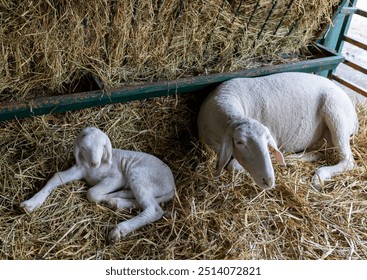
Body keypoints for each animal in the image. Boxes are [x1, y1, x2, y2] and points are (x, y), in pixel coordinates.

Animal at [20, 127, 176, 243]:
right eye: (83, 147)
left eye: (102, 147)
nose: (94, 163)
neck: (96, 168)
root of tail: (172, 183)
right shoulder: (80, 168)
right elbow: (56, 177)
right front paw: (31, 203)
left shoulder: (117, 177)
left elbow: (92, 192)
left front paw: (104, 197)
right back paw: (116, 201)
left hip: (140, 175)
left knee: (154, 209)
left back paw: (119, 228)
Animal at [198, 72, 360, 190]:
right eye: (239, 142)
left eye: (266, 141)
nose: (268, 180)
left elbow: (233, 166)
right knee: (320, 151)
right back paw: (308, 156)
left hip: (336, 115)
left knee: (348, 161)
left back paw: (318, 176)